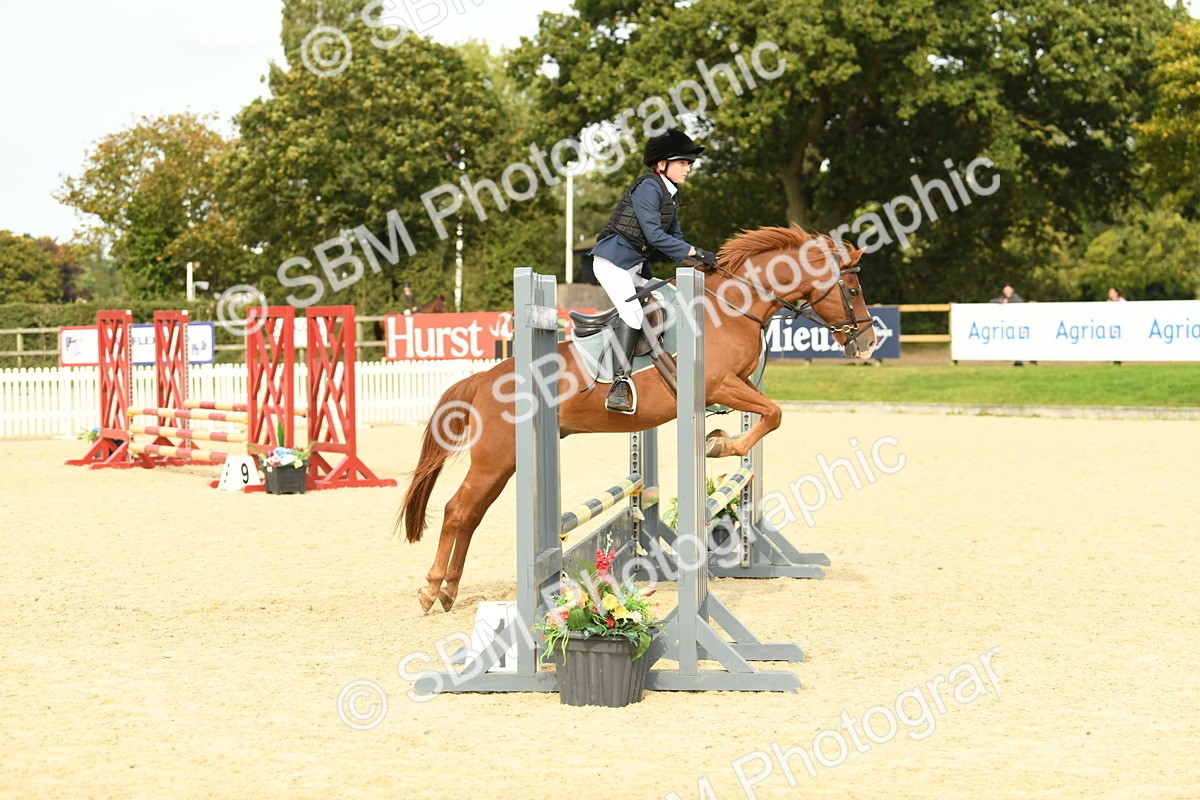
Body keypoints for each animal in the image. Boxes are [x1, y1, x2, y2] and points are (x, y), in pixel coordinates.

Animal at [397, 226, 878, 613]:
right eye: (853, 290)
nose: (868, 342)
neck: (730, 307)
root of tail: (483, 379)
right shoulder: (719, 385)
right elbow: (774, 414)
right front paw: (719, 443)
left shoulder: (738, 384)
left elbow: (768, 412)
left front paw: (719, 437)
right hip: (495, 457)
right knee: (459, 510)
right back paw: (432, 590)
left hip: (507, 461)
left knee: (471, 515)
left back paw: (449, 591)